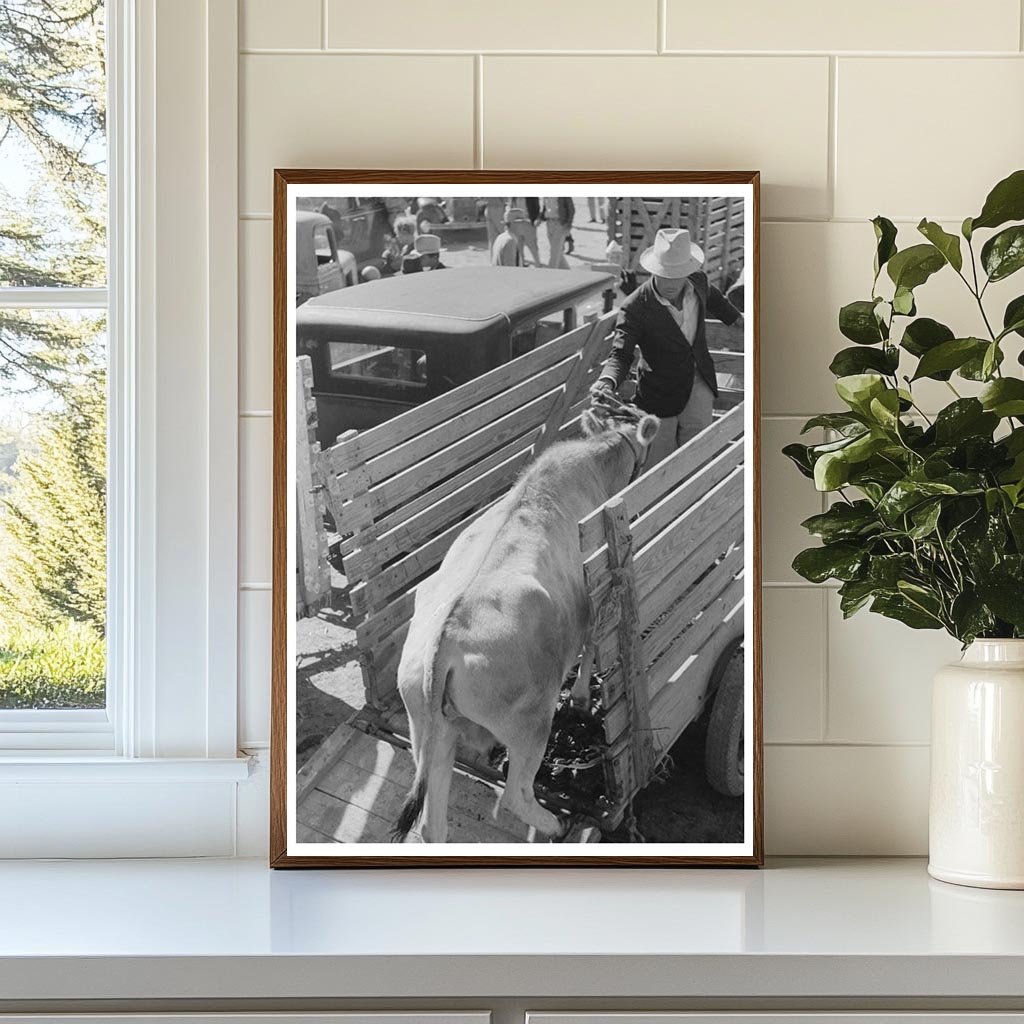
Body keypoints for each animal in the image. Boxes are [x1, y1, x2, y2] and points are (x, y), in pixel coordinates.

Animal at [391, 391, 655, 839]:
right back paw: (554, 823)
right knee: (514, 795)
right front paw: (581, 699)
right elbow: (589, 652)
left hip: (429, 731)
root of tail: (444, 643)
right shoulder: (590, 609)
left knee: (432, 825)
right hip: (530, 724)